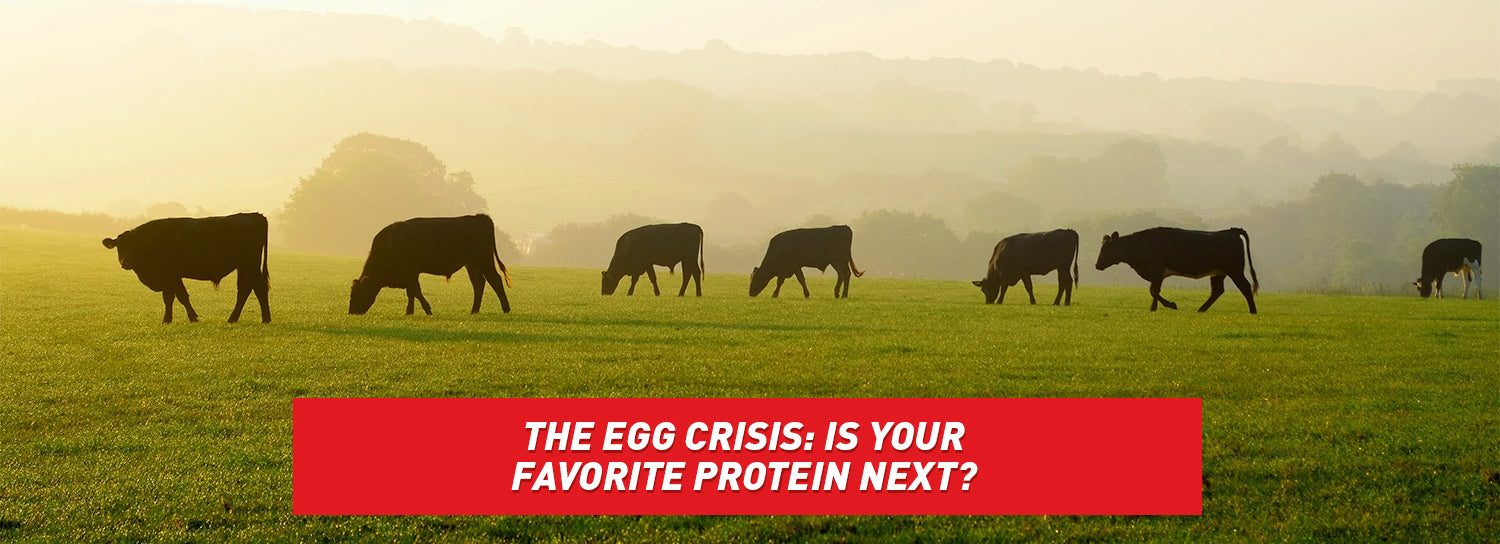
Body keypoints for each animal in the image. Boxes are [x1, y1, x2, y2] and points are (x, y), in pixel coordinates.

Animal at [101, 212, 271, 323]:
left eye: (134, 246)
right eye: (119, 247)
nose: (126, 262)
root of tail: (255, 215)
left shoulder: (170, 275)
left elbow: (175, 297)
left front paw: (174, 319)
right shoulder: (173, 277)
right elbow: (176, 297)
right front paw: (181, 318)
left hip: (250, 265)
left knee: (259, 288)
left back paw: (266, 319)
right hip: (243, 267)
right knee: (244, 290)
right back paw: (232, 319)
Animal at [348, 212, 513, 314]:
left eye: (358, 293)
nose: (351, 312)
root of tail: (480, 217)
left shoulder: (412, 273)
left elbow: (414, 291)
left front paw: (421, 310)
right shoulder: (411, 275)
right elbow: (413, 292)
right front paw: (412, 311)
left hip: (484, 260)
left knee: (495, 280)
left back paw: (506, 309)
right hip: (472, 264)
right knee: (478, 283)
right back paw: (474, 311)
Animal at [1098, 226, 1260, 314]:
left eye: (1107, 249)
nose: (1097, 265)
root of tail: (1231, 231)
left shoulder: (1157, 272)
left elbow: (1154, 291)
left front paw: (1161, 307)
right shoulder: (1157, 275)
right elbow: (1153, 291)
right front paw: (1158, 307)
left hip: (1235, 270)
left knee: (1245, 287)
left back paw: (1253, 311)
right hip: (1218, 273)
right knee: (1217, 291)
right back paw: (1201, 309)